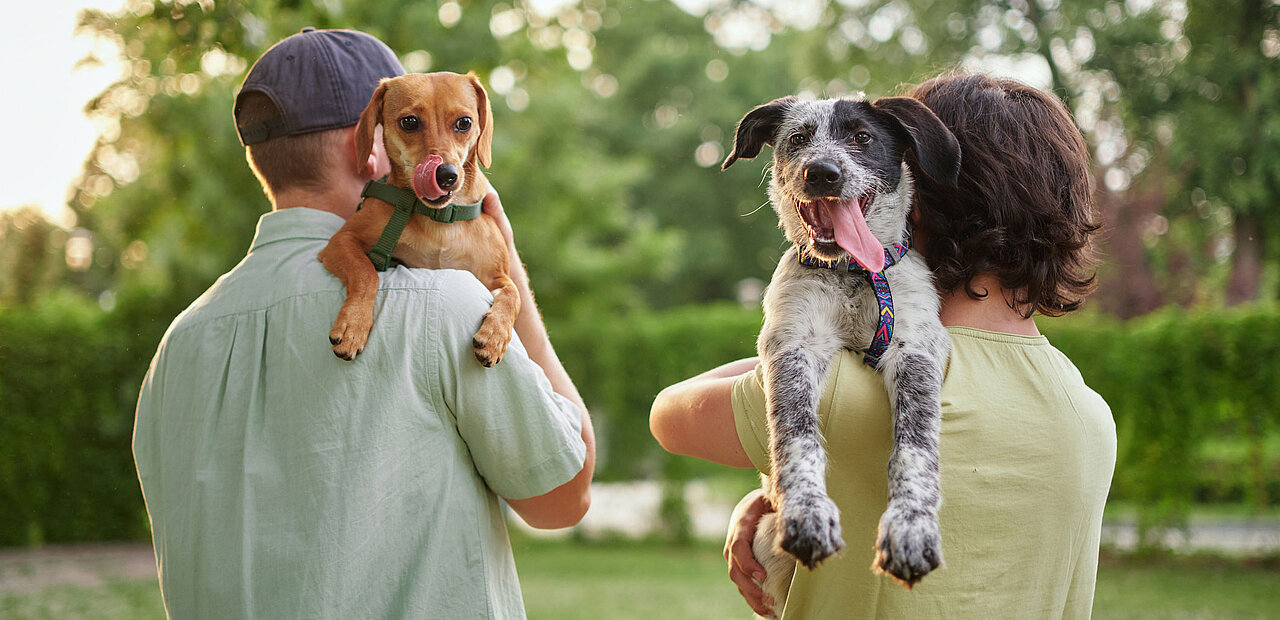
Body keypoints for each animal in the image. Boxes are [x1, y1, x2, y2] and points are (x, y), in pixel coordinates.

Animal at [317, 71, 517, 368]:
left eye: (464, 122)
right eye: (409, 122)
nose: (445, 175)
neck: (439, 219)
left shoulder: (497, 275)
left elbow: (514, 295)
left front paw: (495, 336)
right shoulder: (342, 241)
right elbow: (365, 273)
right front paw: (353, 325)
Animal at [727, 93, 957, 609]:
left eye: (863, 137)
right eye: (798, 138)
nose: (823, 173)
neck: (852, 273)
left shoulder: (915, 348)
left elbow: (915, 447)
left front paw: (911, 531)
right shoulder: (792, 345)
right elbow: (797, 437)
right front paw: (808, 515)